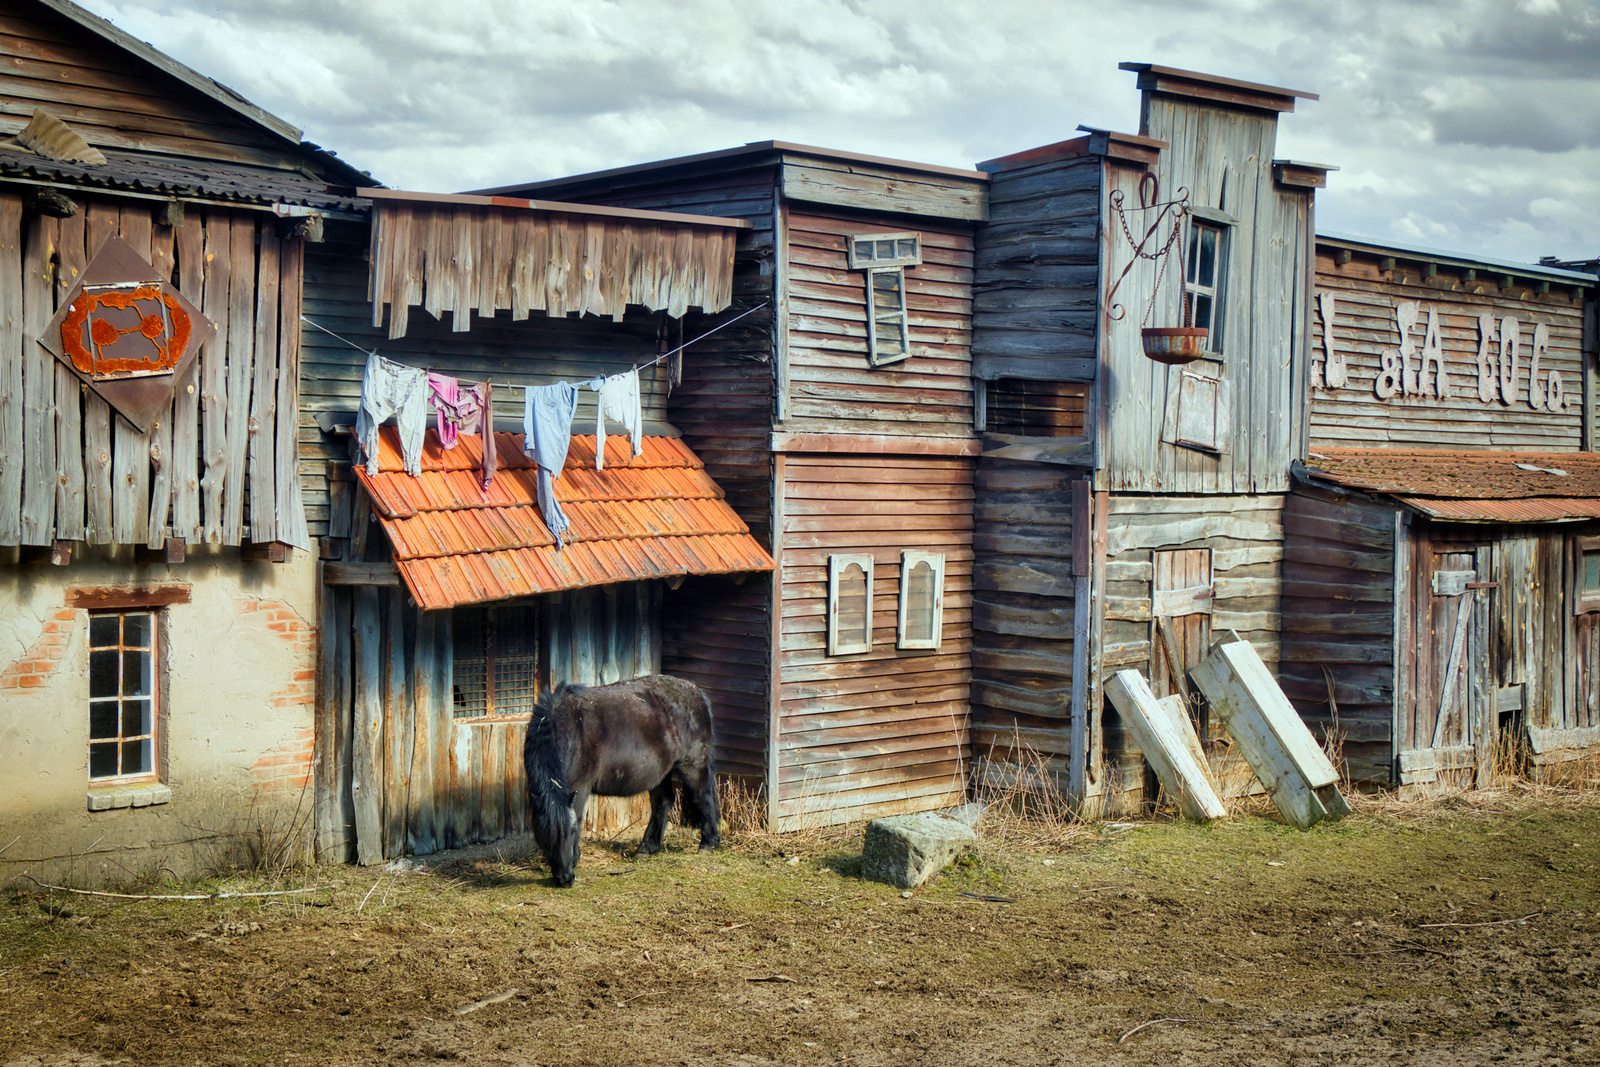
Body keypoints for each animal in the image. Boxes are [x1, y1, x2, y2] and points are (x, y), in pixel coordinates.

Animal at [521, 675, 723, 895]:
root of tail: (696, 691)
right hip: (661, 774)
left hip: (693, 765)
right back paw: (647, 848)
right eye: (544, 837)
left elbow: (579, 816)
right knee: (663, 801)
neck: (571, 728)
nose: (565, 879)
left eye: (572, 832)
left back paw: (707, 844)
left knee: (704, 797)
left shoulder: (580, 787)